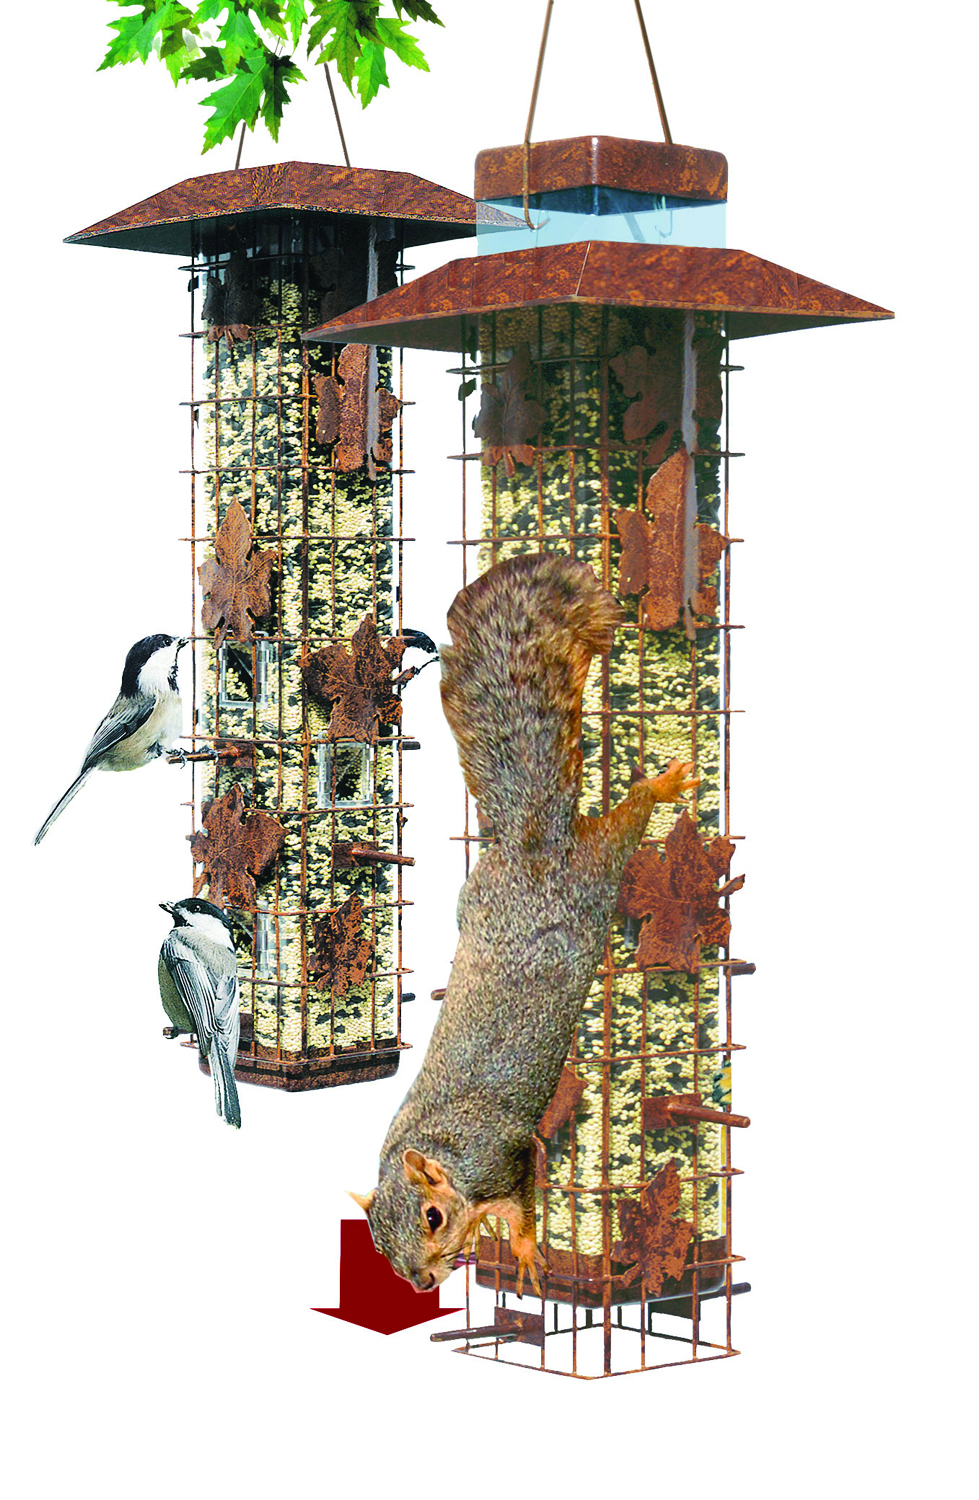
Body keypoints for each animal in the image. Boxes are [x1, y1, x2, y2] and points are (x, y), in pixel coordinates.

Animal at [351, 553, 696, 1296]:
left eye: (430, 1217)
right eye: (378, 1249)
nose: (421, 1283)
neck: (442, 1148)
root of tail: (531, 847)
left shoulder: (502, 1159)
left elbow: (524, 1206)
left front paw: (531, 1252)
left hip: (598, 874)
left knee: (628, 821)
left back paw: (658, 787)